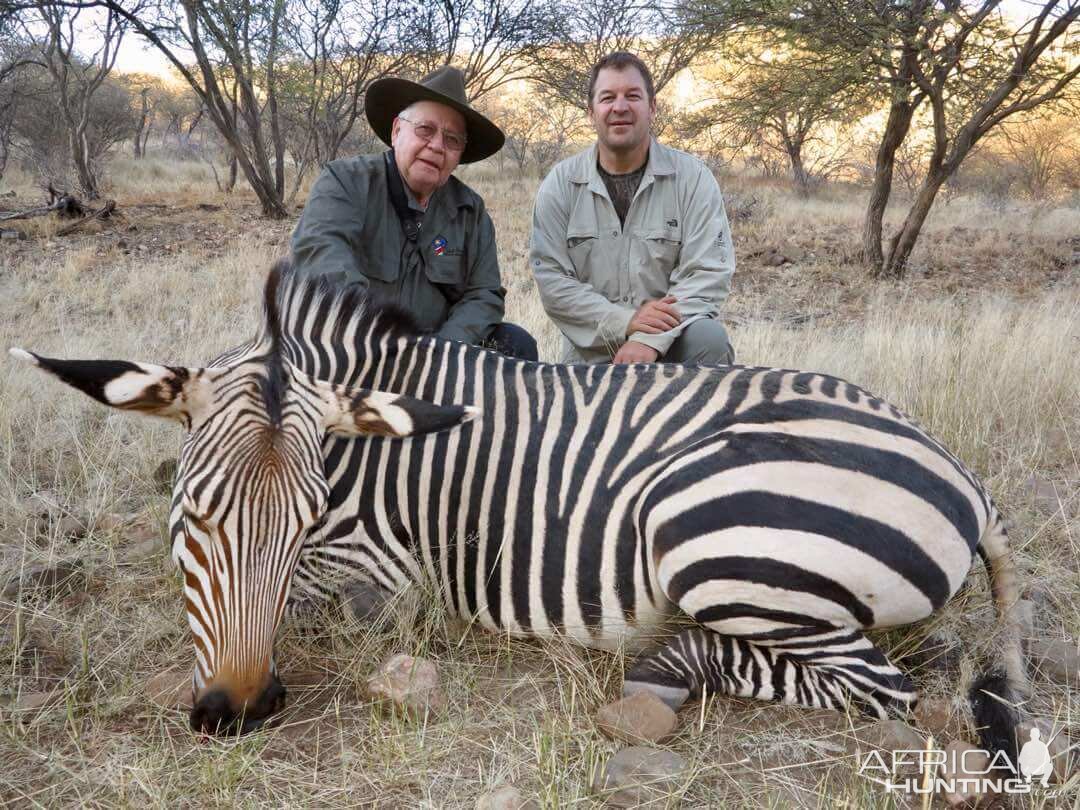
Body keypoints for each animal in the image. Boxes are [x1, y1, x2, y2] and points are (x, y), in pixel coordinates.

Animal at [14, 261, 1028, 747]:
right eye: (193, 516)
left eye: (305, 518)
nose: (238, 708)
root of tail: (966, 476)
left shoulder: (388, 579)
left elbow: (314, 605)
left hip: (699, 522)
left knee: (876, 686)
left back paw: (667, 664)